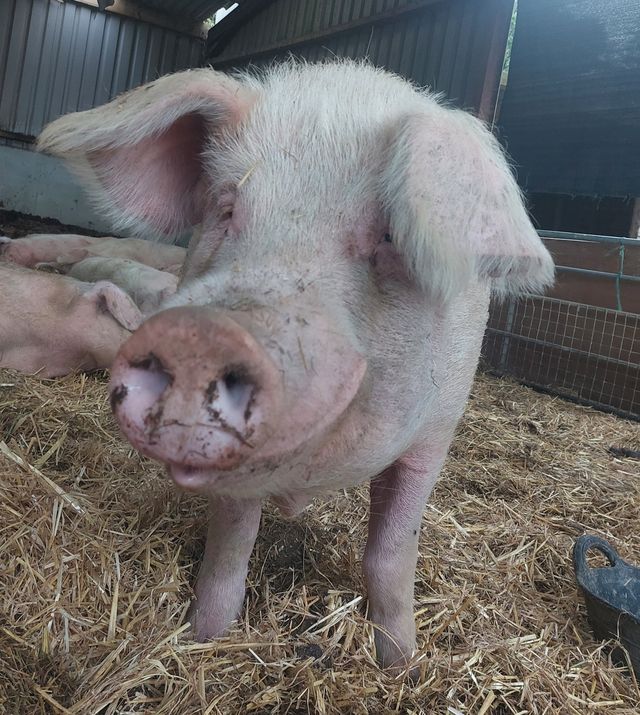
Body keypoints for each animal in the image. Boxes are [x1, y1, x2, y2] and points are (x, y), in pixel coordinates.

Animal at [38, 61, 554, 669]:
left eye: (389, 235)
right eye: (227, 207)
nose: (202, 333)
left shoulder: (436, 430)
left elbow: (392, 550)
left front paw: (400, 662)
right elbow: (231, 543)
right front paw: (204, 635)